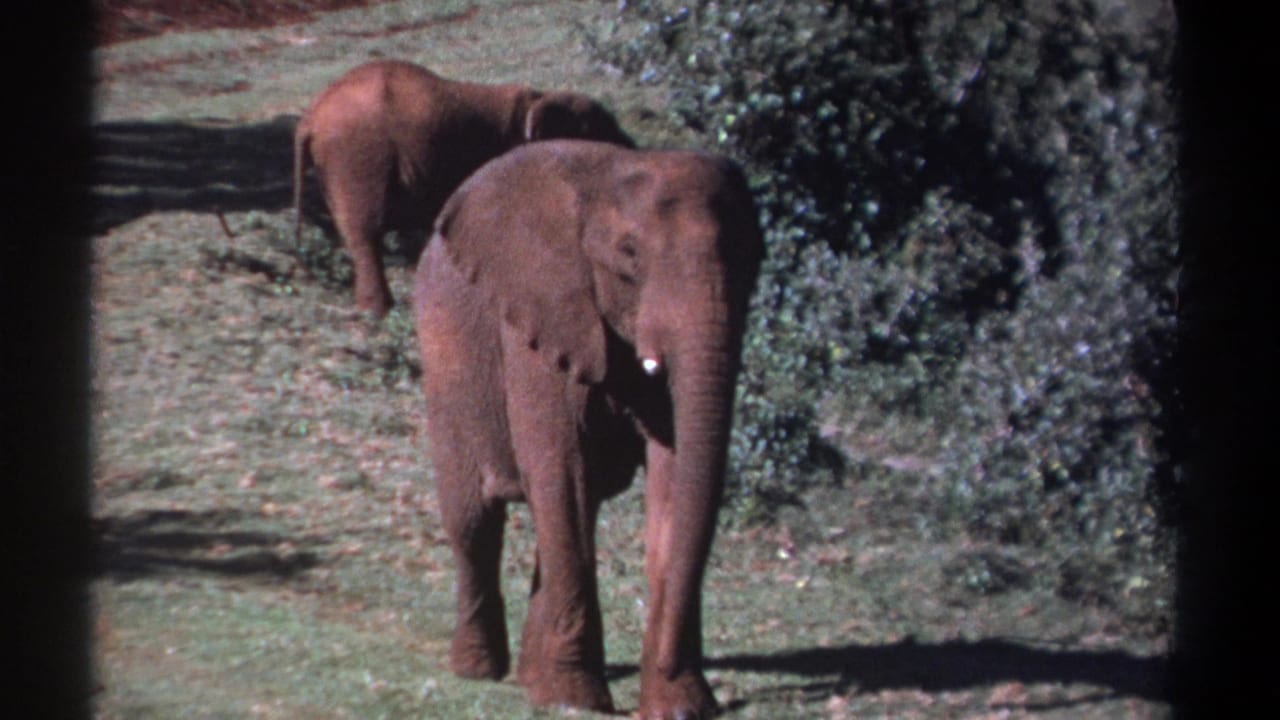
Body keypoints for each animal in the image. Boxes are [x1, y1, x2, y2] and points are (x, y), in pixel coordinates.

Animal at [293, 59, 634, 316]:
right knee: (365, 233)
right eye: (598, 131)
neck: (537, 98)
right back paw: (378, 313)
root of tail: (309, 117)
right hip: (357, 156)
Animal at [412, 140, 764, 718]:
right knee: (475, 519)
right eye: (629, 255)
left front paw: (679, 705)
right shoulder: (542, 319)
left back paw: (528, 677)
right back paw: (479, 671)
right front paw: (573, 700)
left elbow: (672, 477)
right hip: (444, 355)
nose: (668, 665)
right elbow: (562, 469)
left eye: (752, 260)